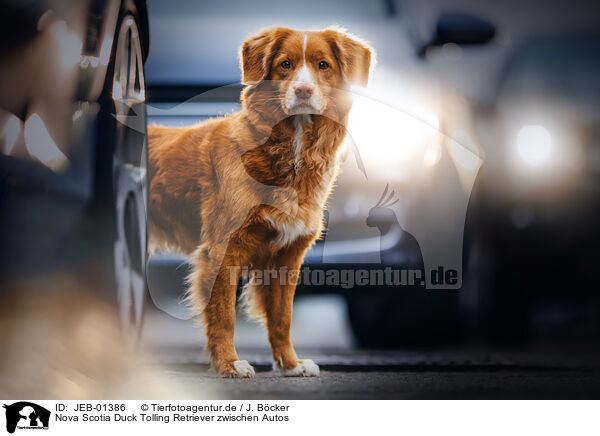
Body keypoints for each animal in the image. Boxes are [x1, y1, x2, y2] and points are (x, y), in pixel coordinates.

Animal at [148, 26, 372, 378]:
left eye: (323, 65)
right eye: (285, 64)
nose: (304, 90)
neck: (290, 149)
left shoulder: (286, 257)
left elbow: (282, 319)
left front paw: (291, 364)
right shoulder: (223, 250)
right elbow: (224, 316)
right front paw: (229, 364)